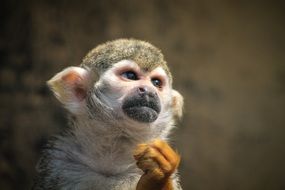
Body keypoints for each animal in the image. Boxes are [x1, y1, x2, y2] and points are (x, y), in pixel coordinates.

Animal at [32, 39, 183, 190]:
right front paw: (159, 175)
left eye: (156, 82)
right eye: (130, 76)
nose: (149, 91)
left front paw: (159, 176)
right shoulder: (57, 160)